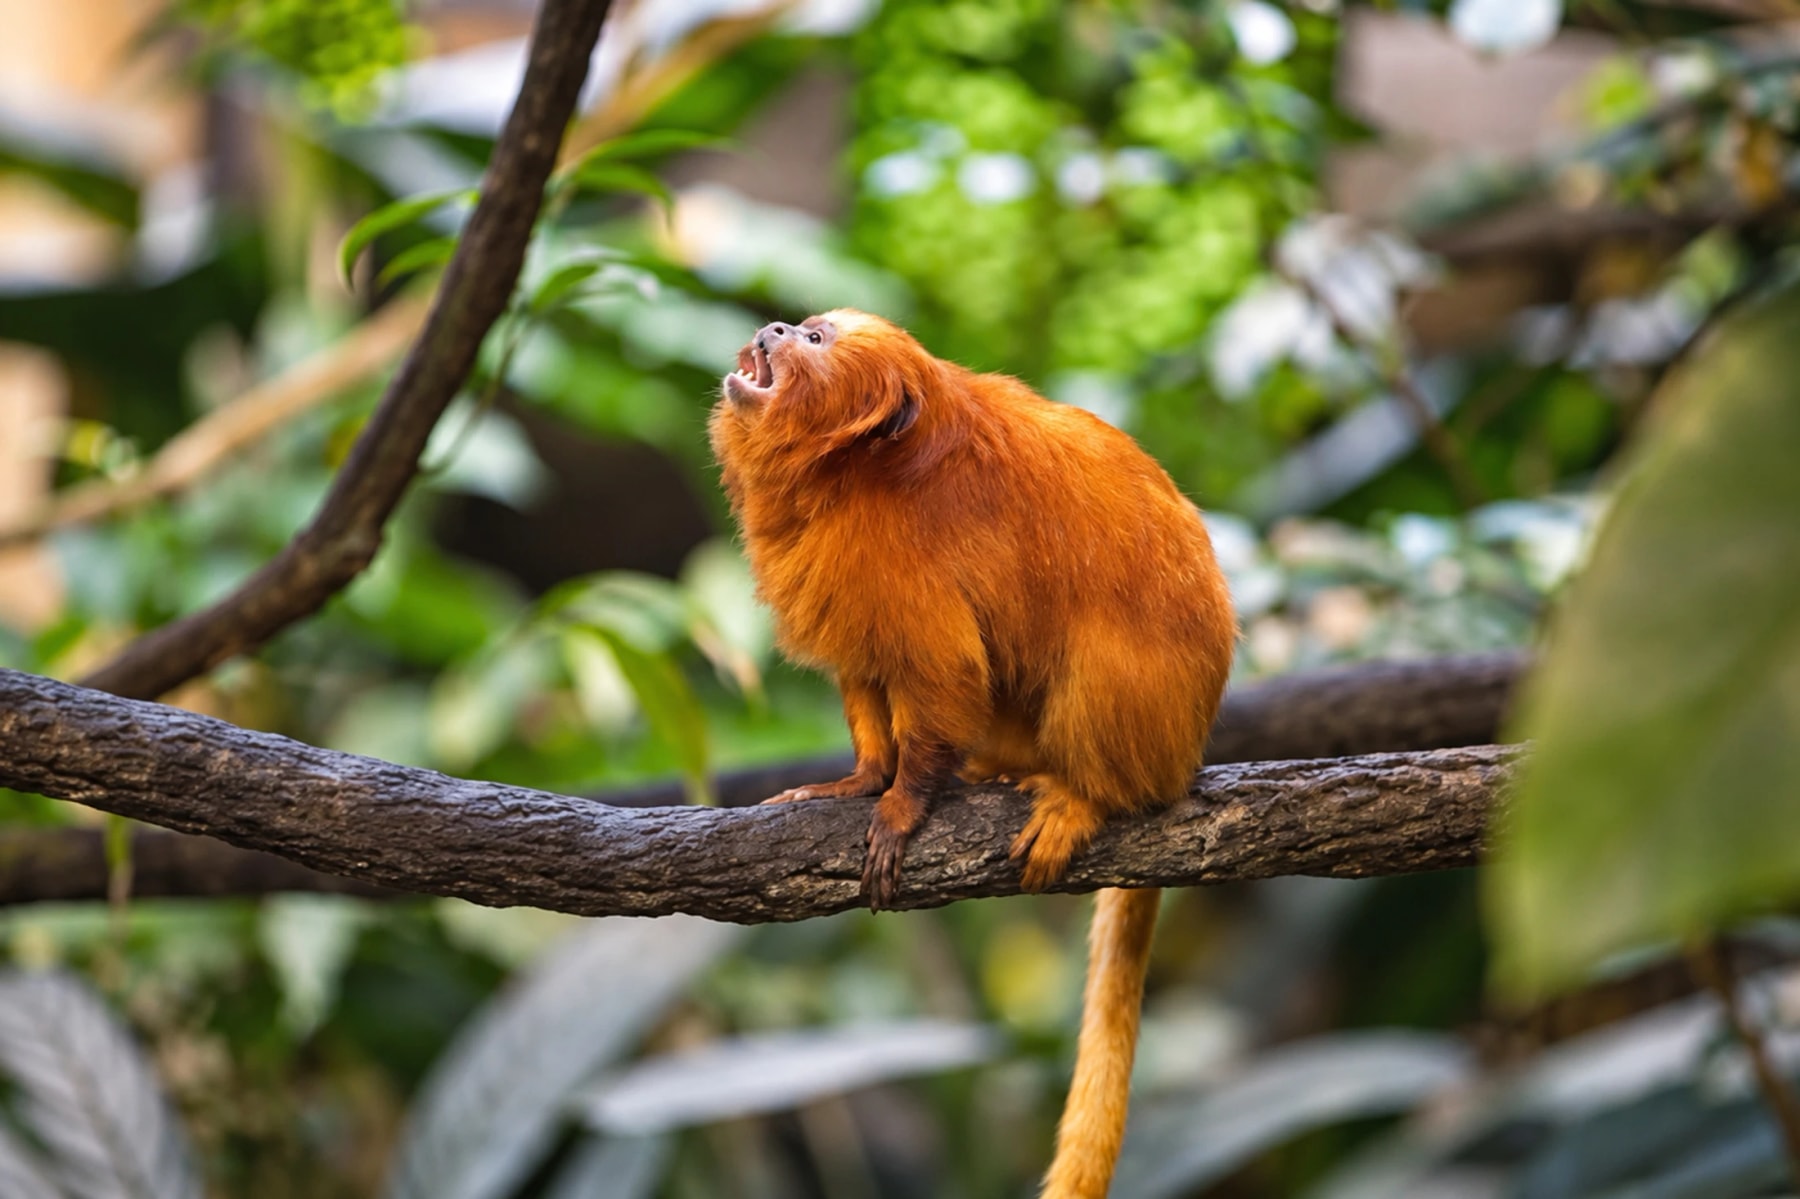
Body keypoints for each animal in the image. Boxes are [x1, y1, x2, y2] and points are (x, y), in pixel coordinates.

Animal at [710, 310, 1236, 1199]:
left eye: (814, 342)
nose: (774, 327)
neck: (853, 472)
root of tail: (1187, 748)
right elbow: (868, 680)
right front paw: (859, 782)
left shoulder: (909, 561)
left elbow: (943, 674)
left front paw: (904, 805)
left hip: (1144, 716)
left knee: (1101, 667)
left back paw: (1089, 795)